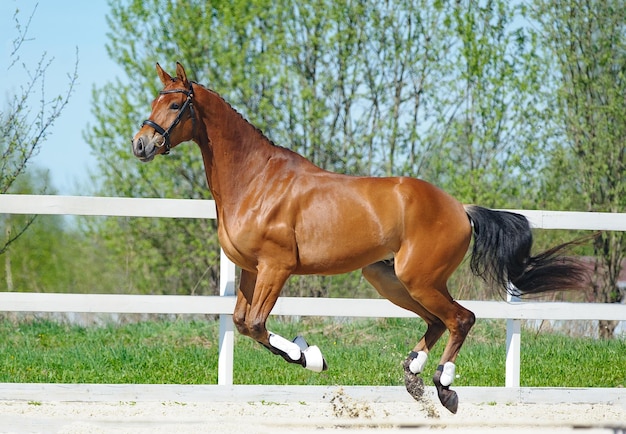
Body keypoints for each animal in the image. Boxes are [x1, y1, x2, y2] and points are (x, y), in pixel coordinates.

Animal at [132, 62, 584, 414]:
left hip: (419, 278)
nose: (141, 144)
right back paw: (414, 374)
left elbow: (257, 324)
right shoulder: (250, 270)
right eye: (154, 101)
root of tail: (460, 209)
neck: (256, 180)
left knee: (461, 318)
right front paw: (307, 353)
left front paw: (309, 357)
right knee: (438, 321)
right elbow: (243, 324)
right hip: (389, 279)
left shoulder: (276, 268)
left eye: (175, 104)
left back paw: (443, 386)